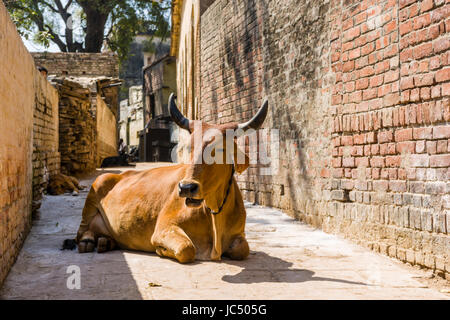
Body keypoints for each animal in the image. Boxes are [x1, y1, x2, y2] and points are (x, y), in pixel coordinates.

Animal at [72, 93, 268, 262]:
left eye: (220, 149)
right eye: (189, 147)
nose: (186, 188)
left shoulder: (239, 235)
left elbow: (242, 249)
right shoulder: (164, 227)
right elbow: (187, 249)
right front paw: (161, 250)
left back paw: (106, 241)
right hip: (97, 186)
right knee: (81, 232)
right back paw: (89, 241)